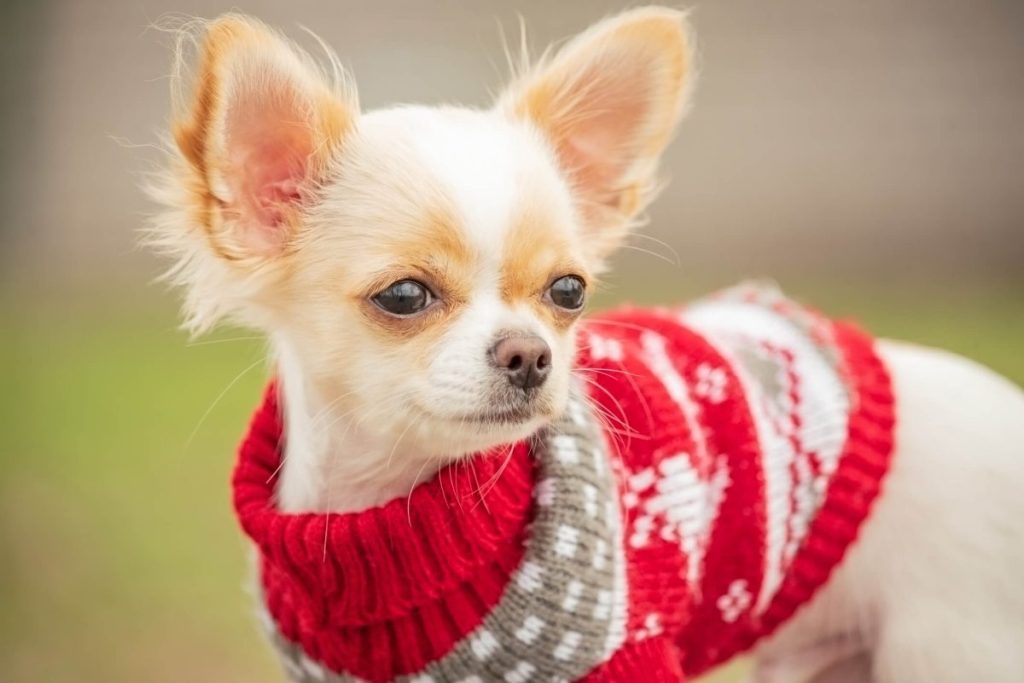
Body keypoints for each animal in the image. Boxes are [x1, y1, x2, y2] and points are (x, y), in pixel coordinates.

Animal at [148, 6, 1024, 683]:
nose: (530, 354)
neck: (391, 507)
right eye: (405, 296)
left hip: (951, 648)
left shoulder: (624, 655)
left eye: (567, 291)